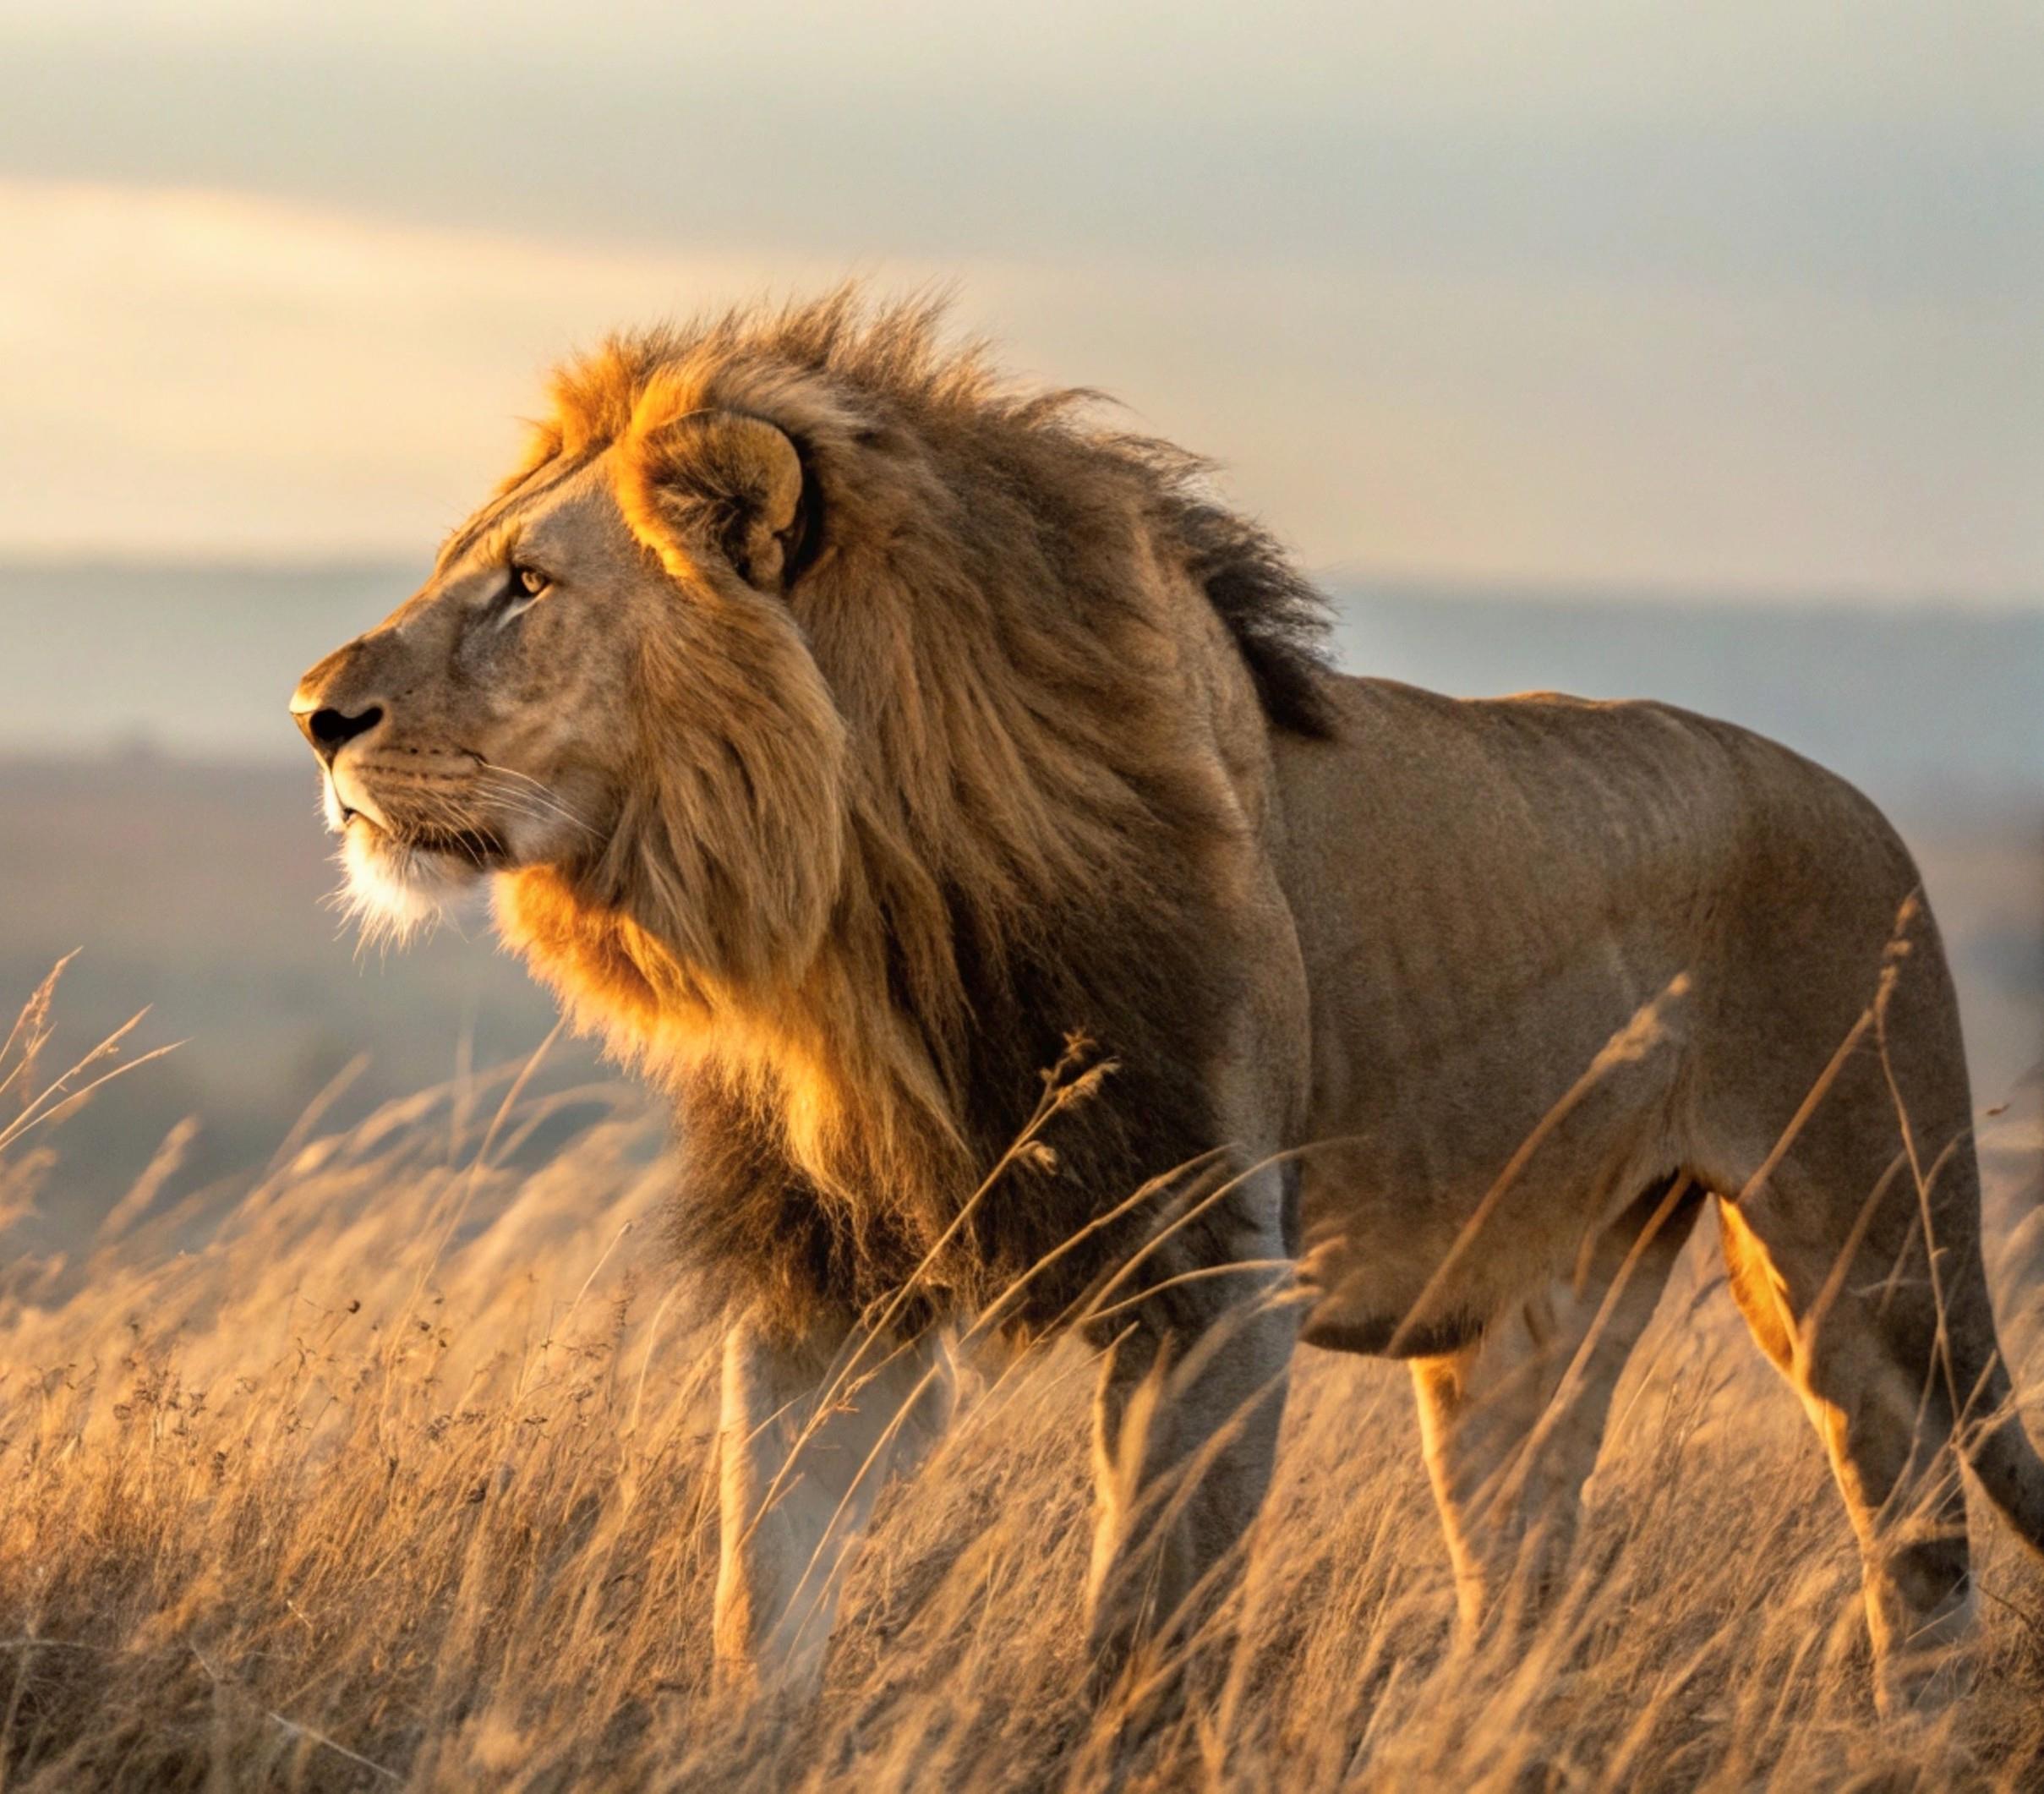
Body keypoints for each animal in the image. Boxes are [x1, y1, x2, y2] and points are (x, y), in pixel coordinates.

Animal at [292, 291, 2043, 1713]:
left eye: (526, 586)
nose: (314, 713)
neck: (860, 912)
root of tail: (1858, 802)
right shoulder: (830, 1278)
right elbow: (762, 1585)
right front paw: (748, 1737)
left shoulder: (1211, 1275)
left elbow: (1141, 1638)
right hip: (1523, 1319)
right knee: (1525, 1589)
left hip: (1871, 1257)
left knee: (1920, 1552)